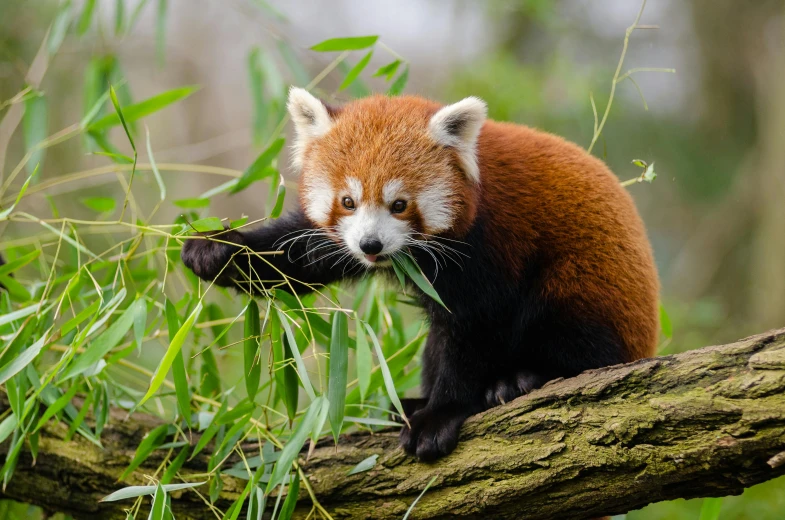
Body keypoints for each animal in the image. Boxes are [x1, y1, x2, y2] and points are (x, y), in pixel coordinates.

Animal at [181, 87, 660, 462]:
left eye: (399, 205)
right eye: (348, 201)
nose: (371, 246)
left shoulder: (488, 247)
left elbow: (472, 330)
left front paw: (441, 414)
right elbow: (296, 256)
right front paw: (215, 249)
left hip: (588, 286)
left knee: (572, 331)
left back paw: (522, 379)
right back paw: (409, 401)